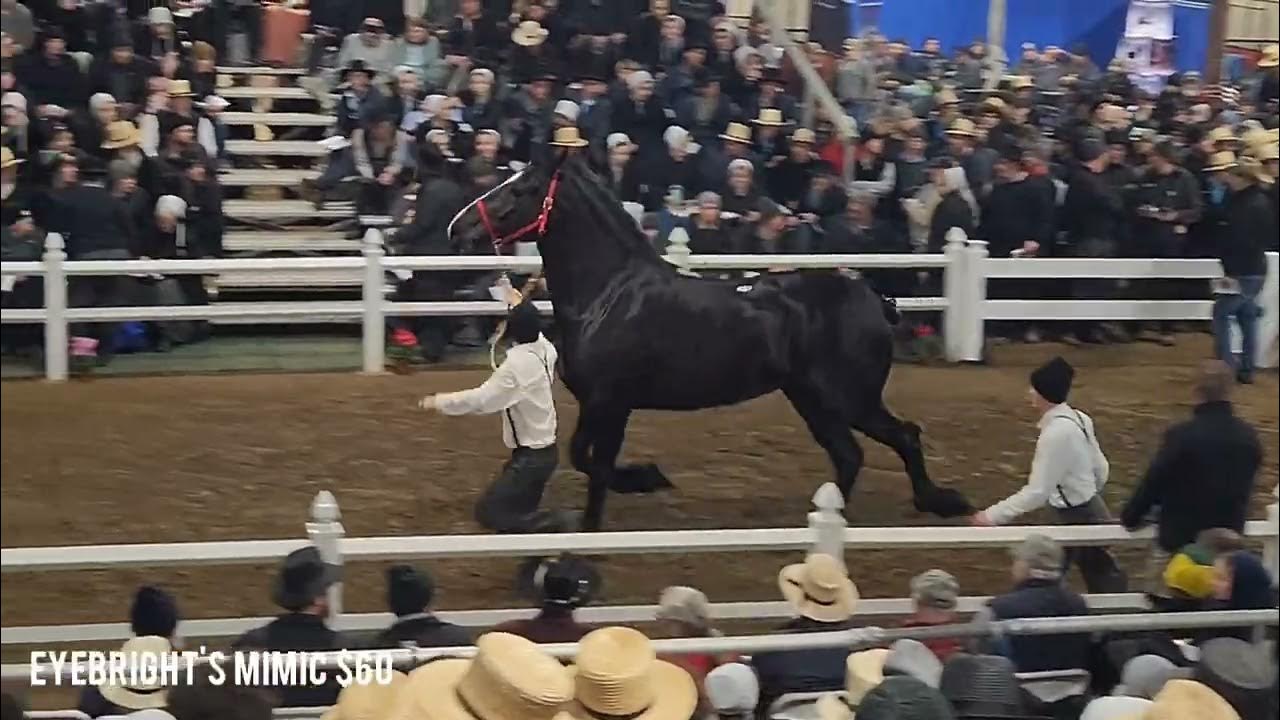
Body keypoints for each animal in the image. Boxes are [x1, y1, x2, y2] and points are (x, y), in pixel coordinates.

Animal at [447, 154, 973, 530]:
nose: (459, 228)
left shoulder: (610, 401)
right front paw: (628, 493)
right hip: (812, 400)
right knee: (850, 455)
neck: (610, 292)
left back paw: (939, 501)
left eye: (523, 189)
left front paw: (637, 486)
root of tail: (873, 299)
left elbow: (593, 464)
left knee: (904, 437)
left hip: (850, 398)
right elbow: (591, 461)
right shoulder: (606, 405)